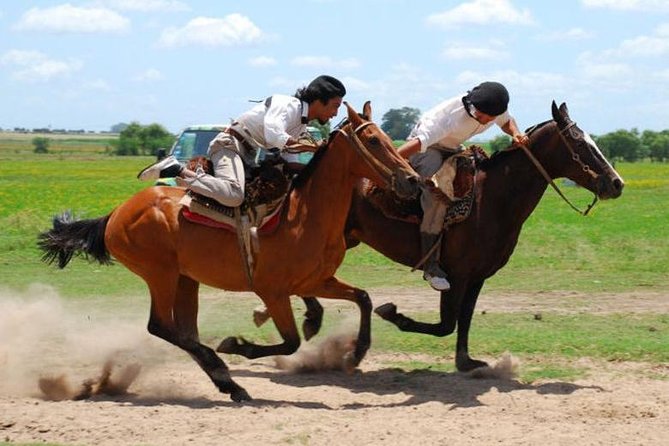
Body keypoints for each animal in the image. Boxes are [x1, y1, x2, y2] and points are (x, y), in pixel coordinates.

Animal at [37, 103, 418, 402]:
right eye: (373, 140)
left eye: (387, 137)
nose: (412, 180)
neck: (304, 214)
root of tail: (116, 213)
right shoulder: (273, 291)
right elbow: (291, 341)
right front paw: (237, 345)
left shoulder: (316, 280)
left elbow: (363, 298)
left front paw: (356, 353)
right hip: (160, 274)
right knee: (160, 326)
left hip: (185, 280)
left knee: (184, 332)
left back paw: (227, 383)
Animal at [286, 100, 620, 370]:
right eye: (580, 144)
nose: (616, 183)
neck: (492, 198)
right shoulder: (457, 275)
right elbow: (446, 323)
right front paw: (393, 314)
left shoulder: (477, 277)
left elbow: (464, 319)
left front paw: (466, 361)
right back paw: (313, 319)